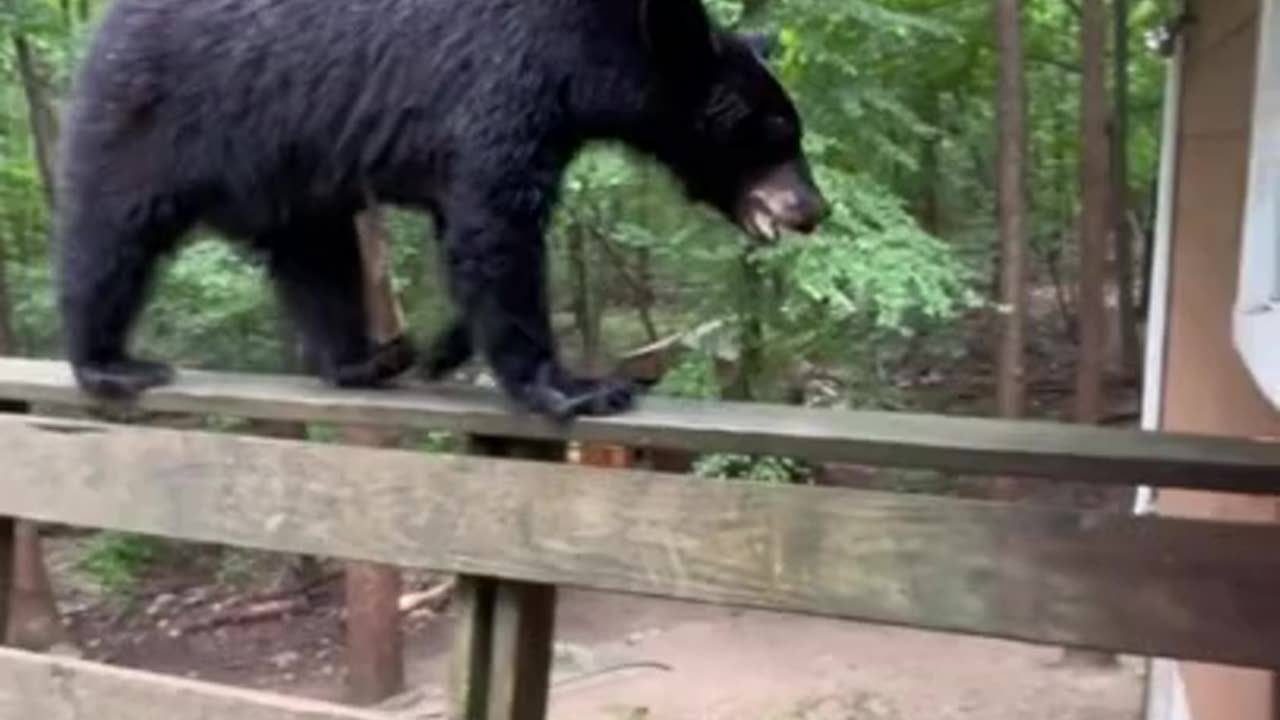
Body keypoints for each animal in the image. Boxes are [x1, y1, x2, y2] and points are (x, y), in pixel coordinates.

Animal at [55, 0, 824, 417]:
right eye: (772, 131)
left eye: (792, 129)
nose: (814, 208)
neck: (589, 50)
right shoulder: (501, 85)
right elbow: (496, 224)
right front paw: (575, 386)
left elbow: (469, 235)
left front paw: (445, 345)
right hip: (150, 119)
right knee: (111, 238)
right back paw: (109, 362)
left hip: (286, 166)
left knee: (317, 254)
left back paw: (364, 360)